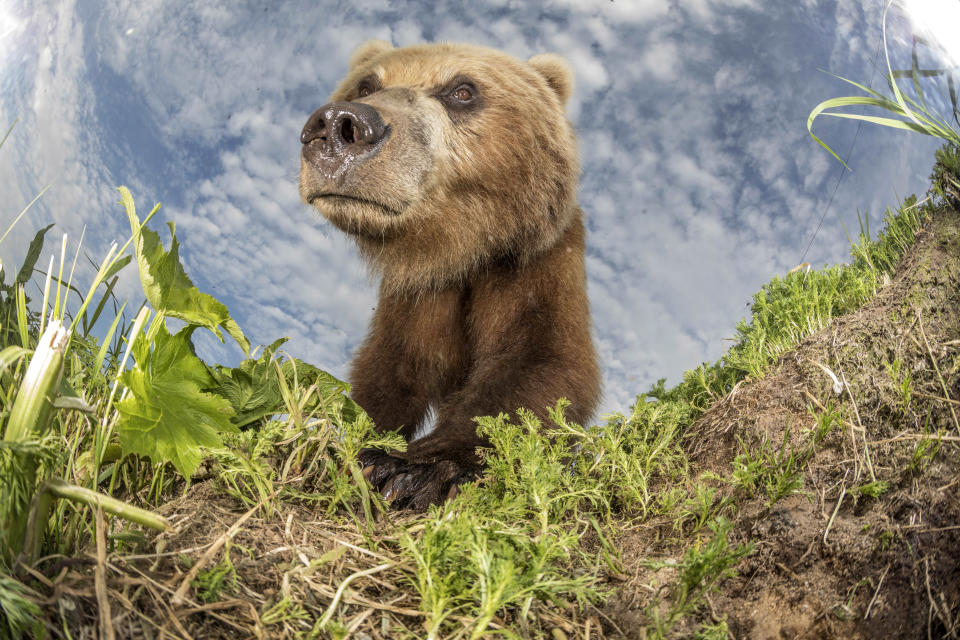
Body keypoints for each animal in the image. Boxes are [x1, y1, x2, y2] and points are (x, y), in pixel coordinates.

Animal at [300, 40, 600, 510]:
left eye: (462, 90)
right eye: (366, 84)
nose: (337, 124)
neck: (456, 249)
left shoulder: (536, 263)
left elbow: (540, 361)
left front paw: (415, 470)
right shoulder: (415, 293)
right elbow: (390, 372)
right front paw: (362, 449)